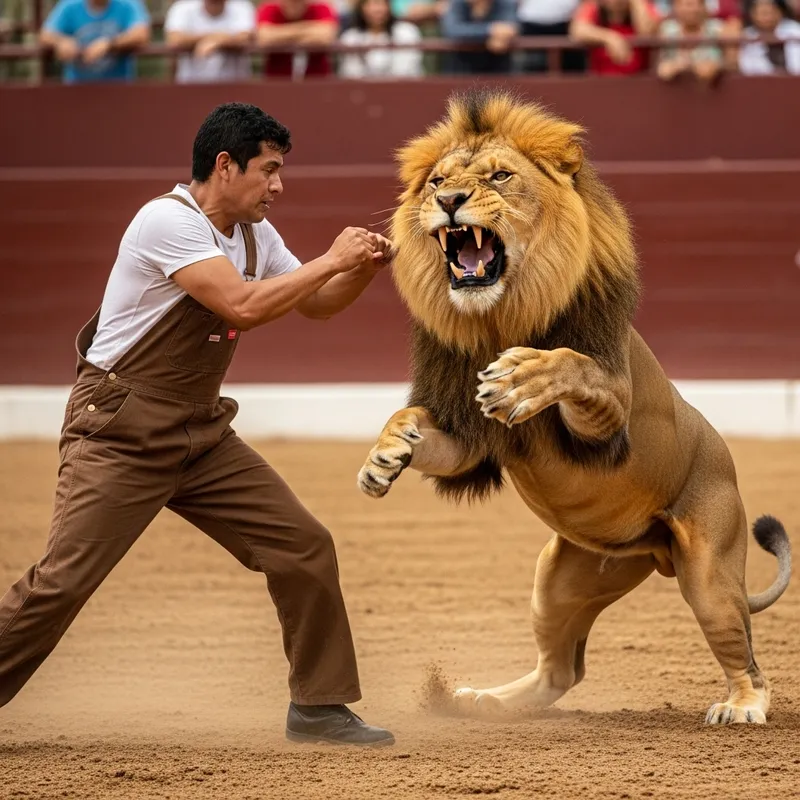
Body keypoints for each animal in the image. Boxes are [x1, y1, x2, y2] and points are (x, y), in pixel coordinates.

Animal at [357, 89, 792, 725]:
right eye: (437, 179)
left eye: (500, 176)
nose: (449, 201)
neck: (496, 317)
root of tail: (652, 551)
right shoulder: (466, 437)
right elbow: (418, 425)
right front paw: (385, 456)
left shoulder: (607, 413)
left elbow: (570, 364)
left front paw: (520, 378)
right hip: (560, 580)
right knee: (562, 669)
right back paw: (485, 702)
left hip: (711, 574)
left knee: (745, 655)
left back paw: (741, 706)